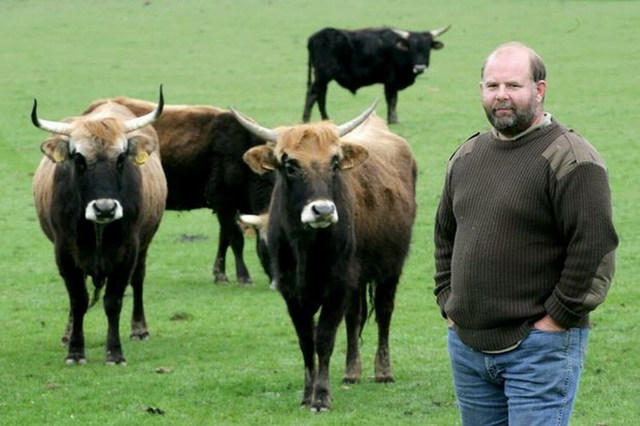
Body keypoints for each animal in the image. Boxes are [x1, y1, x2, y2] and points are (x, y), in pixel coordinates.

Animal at [31, 88, 168, 364]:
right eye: (79, 159)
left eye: (121, 158)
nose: (105, 208)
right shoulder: (64, 251)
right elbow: (78, 300)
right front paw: (75, 350)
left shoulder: (128, 251)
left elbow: (113, 301)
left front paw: (114, 353)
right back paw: (68, 333)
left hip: (144, 245)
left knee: (138, 280)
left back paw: (139, 329)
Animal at [232, 102, 418, 410]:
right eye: (289, 165)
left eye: (334, 163)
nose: (323, 210)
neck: (307, 249)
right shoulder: (292, 293)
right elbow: (306, 341)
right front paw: (307, 394)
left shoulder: (338, 286)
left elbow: (324, 339)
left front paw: (321, 397)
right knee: (354, 317)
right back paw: (352, 371)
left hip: (391, 268)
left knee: (384, 313)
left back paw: (383, 371)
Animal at [304, 25, 450, 123]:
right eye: (412, 48)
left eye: (427, 48)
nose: (420, 68)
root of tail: (316, 36)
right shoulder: (391, 82)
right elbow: (392, 100)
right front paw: (393, 120)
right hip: (323, 76)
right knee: (314, 94)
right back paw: (308, 119)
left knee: (320, 95)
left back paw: (324, 119)